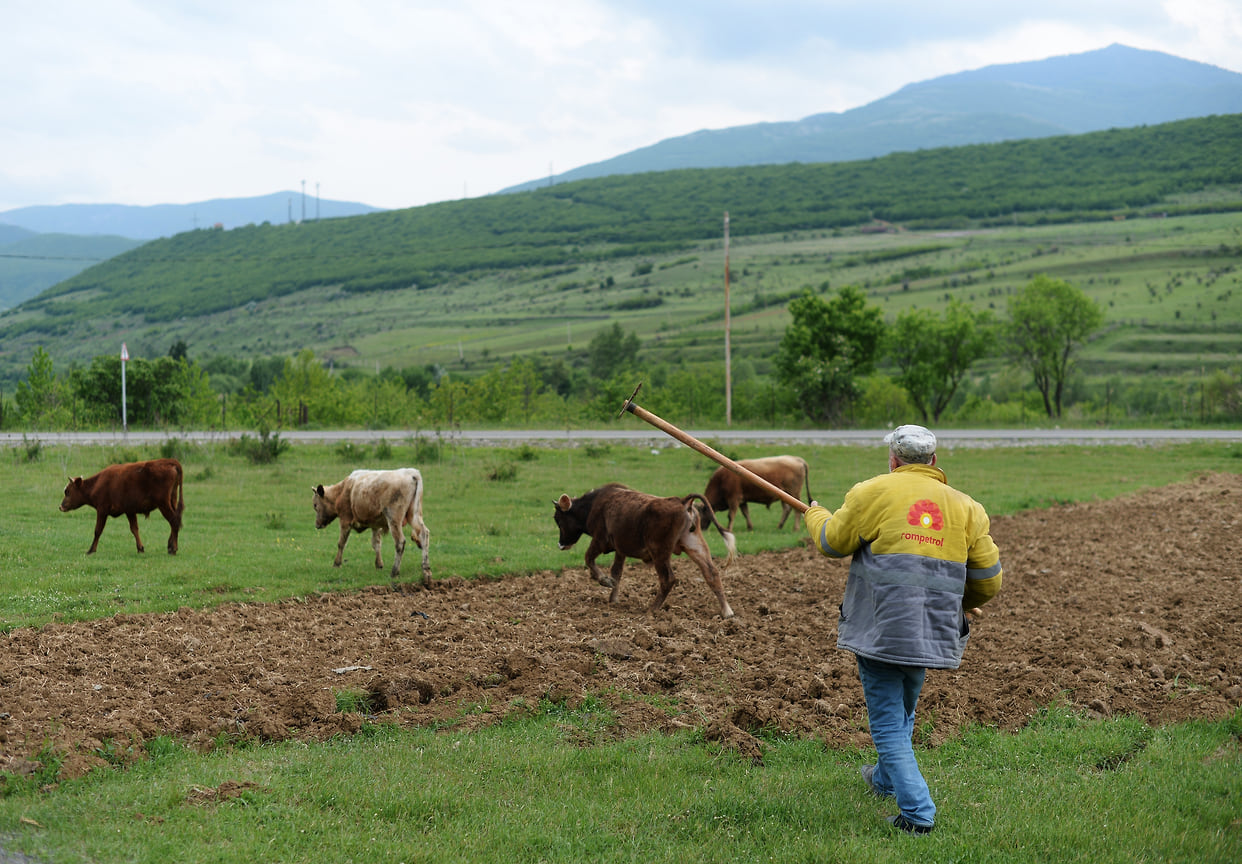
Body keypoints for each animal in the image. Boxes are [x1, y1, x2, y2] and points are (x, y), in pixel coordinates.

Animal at [553, 481, 735, 618]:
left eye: (559, 520)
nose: (561, 544)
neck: (594, 505)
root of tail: (683, 501)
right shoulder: (620, 550)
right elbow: (616, 572)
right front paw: (613, 598)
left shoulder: (599, 541)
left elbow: (589, 558)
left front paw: (604, 580)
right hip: (694, 546)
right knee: (711, 573)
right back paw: (726, 611)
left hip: (659, 552)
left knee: (668, 579)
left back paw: (651, 610)